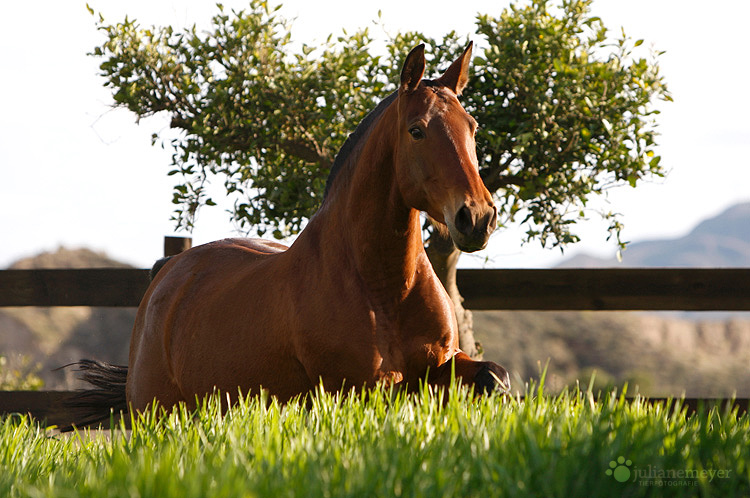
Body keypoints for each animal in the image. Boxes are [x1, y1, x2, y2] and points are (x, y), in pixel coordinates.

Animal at [69, 41, 512, 428]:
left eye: (472, 127)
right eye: (417, 130)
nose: (477, 217)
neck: (383, 288)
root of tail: (167, 271)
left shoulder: (438, 366)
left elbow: (495, 376)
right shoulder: (359, 387)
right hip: (156, 412)